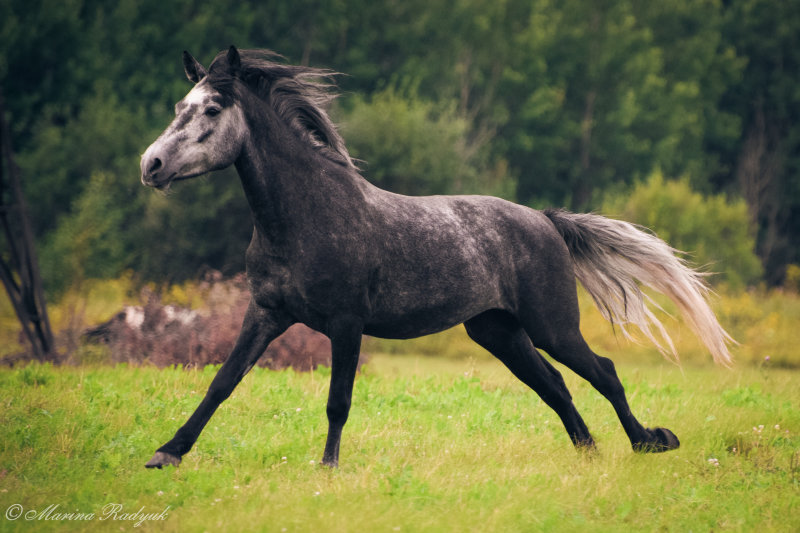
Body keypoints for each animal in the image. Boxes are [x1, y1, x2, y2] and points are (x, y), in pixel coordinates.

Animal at [138, 46, 732, 470]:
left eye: (213, 108)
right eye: (178, 107)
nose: (151, 164)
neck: (306, 216)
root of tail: (545, 221)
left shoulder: (346, 324)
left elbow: (337, 400)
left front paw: (327, 469)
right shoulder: (266, 313)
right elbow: (222, 382)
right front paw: (166, 452)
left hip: (552, 326)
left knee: (601, 372)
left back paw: (648, 442)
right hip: (497, 331)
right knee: (555, 385)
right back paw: (589, 452)